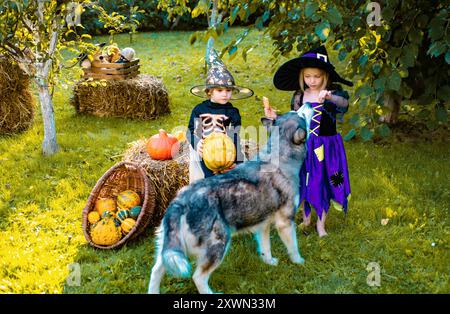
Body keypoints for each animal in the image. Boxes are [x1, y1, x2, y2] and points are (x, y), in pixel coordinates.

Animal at [149, 113, 308, 294]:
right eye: (302, 116)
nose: (307, 109)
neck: (278, 156)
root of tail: (180, 202)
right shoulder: (285, 223)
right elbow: (293, 247)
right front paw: (299, 261)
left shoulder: (263, 225)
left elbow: (265, 248)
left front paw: (269, 262)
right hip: (219, 245)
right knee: (198, 277)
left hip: (171, 250)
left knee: (156, 271)